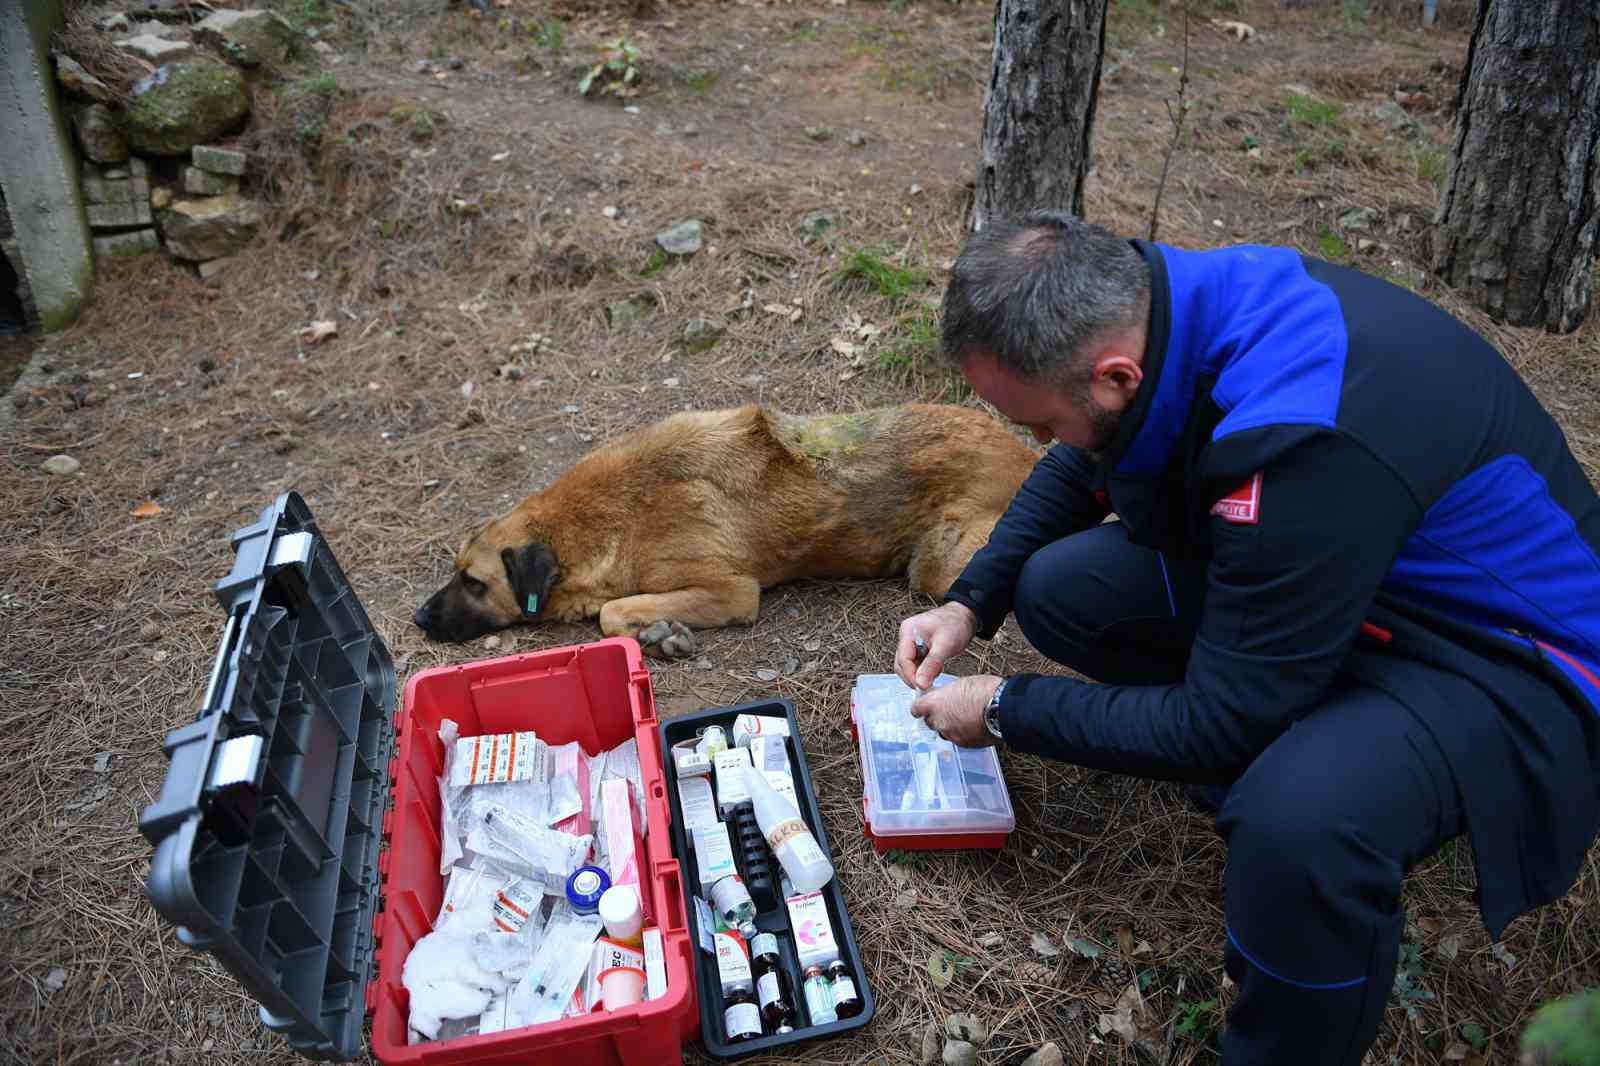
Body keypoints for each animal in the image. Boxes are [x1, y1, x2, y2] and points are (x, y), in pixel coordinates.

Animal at [412, 400, 1036, 656]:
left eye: (474, 583)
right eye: (456, 572)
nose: (417, 618)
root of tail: (1026, 452)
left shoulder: (731, 589)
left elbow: (613, 613)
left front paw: (658, 633)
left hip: (938, 564)